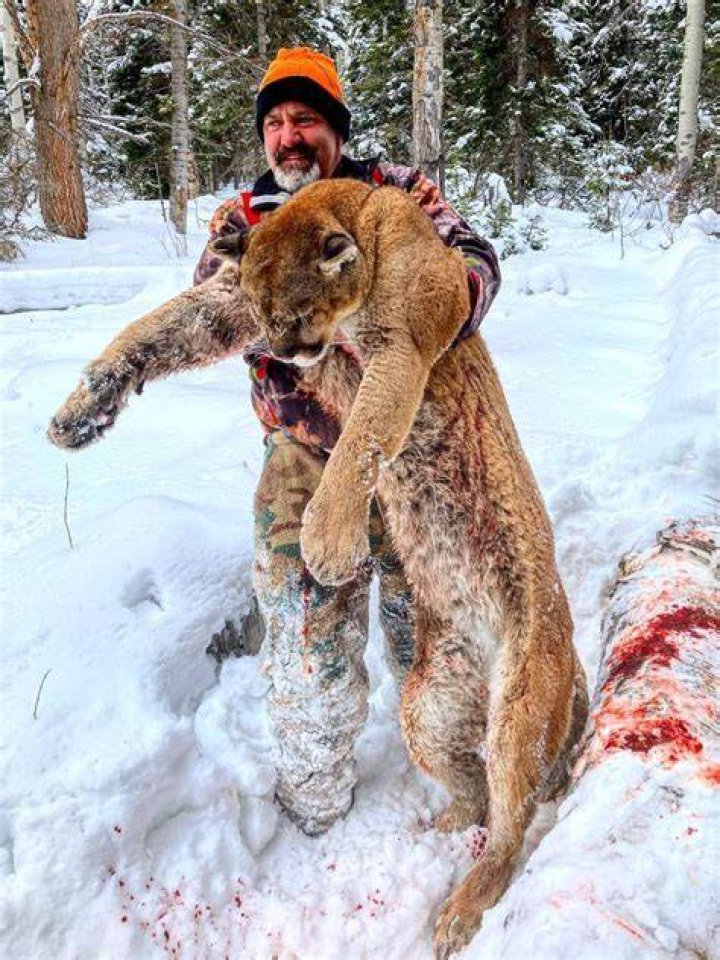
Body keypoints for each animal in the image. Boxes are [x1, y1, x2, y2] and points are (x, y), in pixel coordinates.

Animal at [49, 179, 587, 957]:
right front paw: (82, 408)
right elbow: (157, 327)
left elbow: (362, 436)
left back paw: (460, 911)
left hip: (522, 702)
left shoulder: (404, 342)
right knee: (478, 785)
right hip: (428, 704)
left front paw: (327, 541)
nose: (278, 351)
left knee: (513, 821)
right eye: (267, 313)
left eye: (298, 312)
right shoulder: (229, 302)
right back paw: (450, 821)